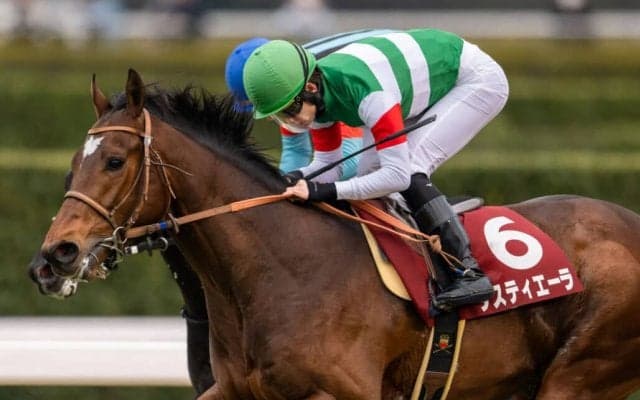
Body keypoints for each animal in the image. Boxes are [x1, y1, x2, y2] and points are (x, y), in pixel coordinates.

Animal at [38, 69, 640, 399]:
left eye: (114, 161)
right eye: (70, 167)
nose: (54, 256)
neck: (281, 269)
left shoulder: (339, 392)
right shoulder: (232, 389)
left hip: (581, 373)